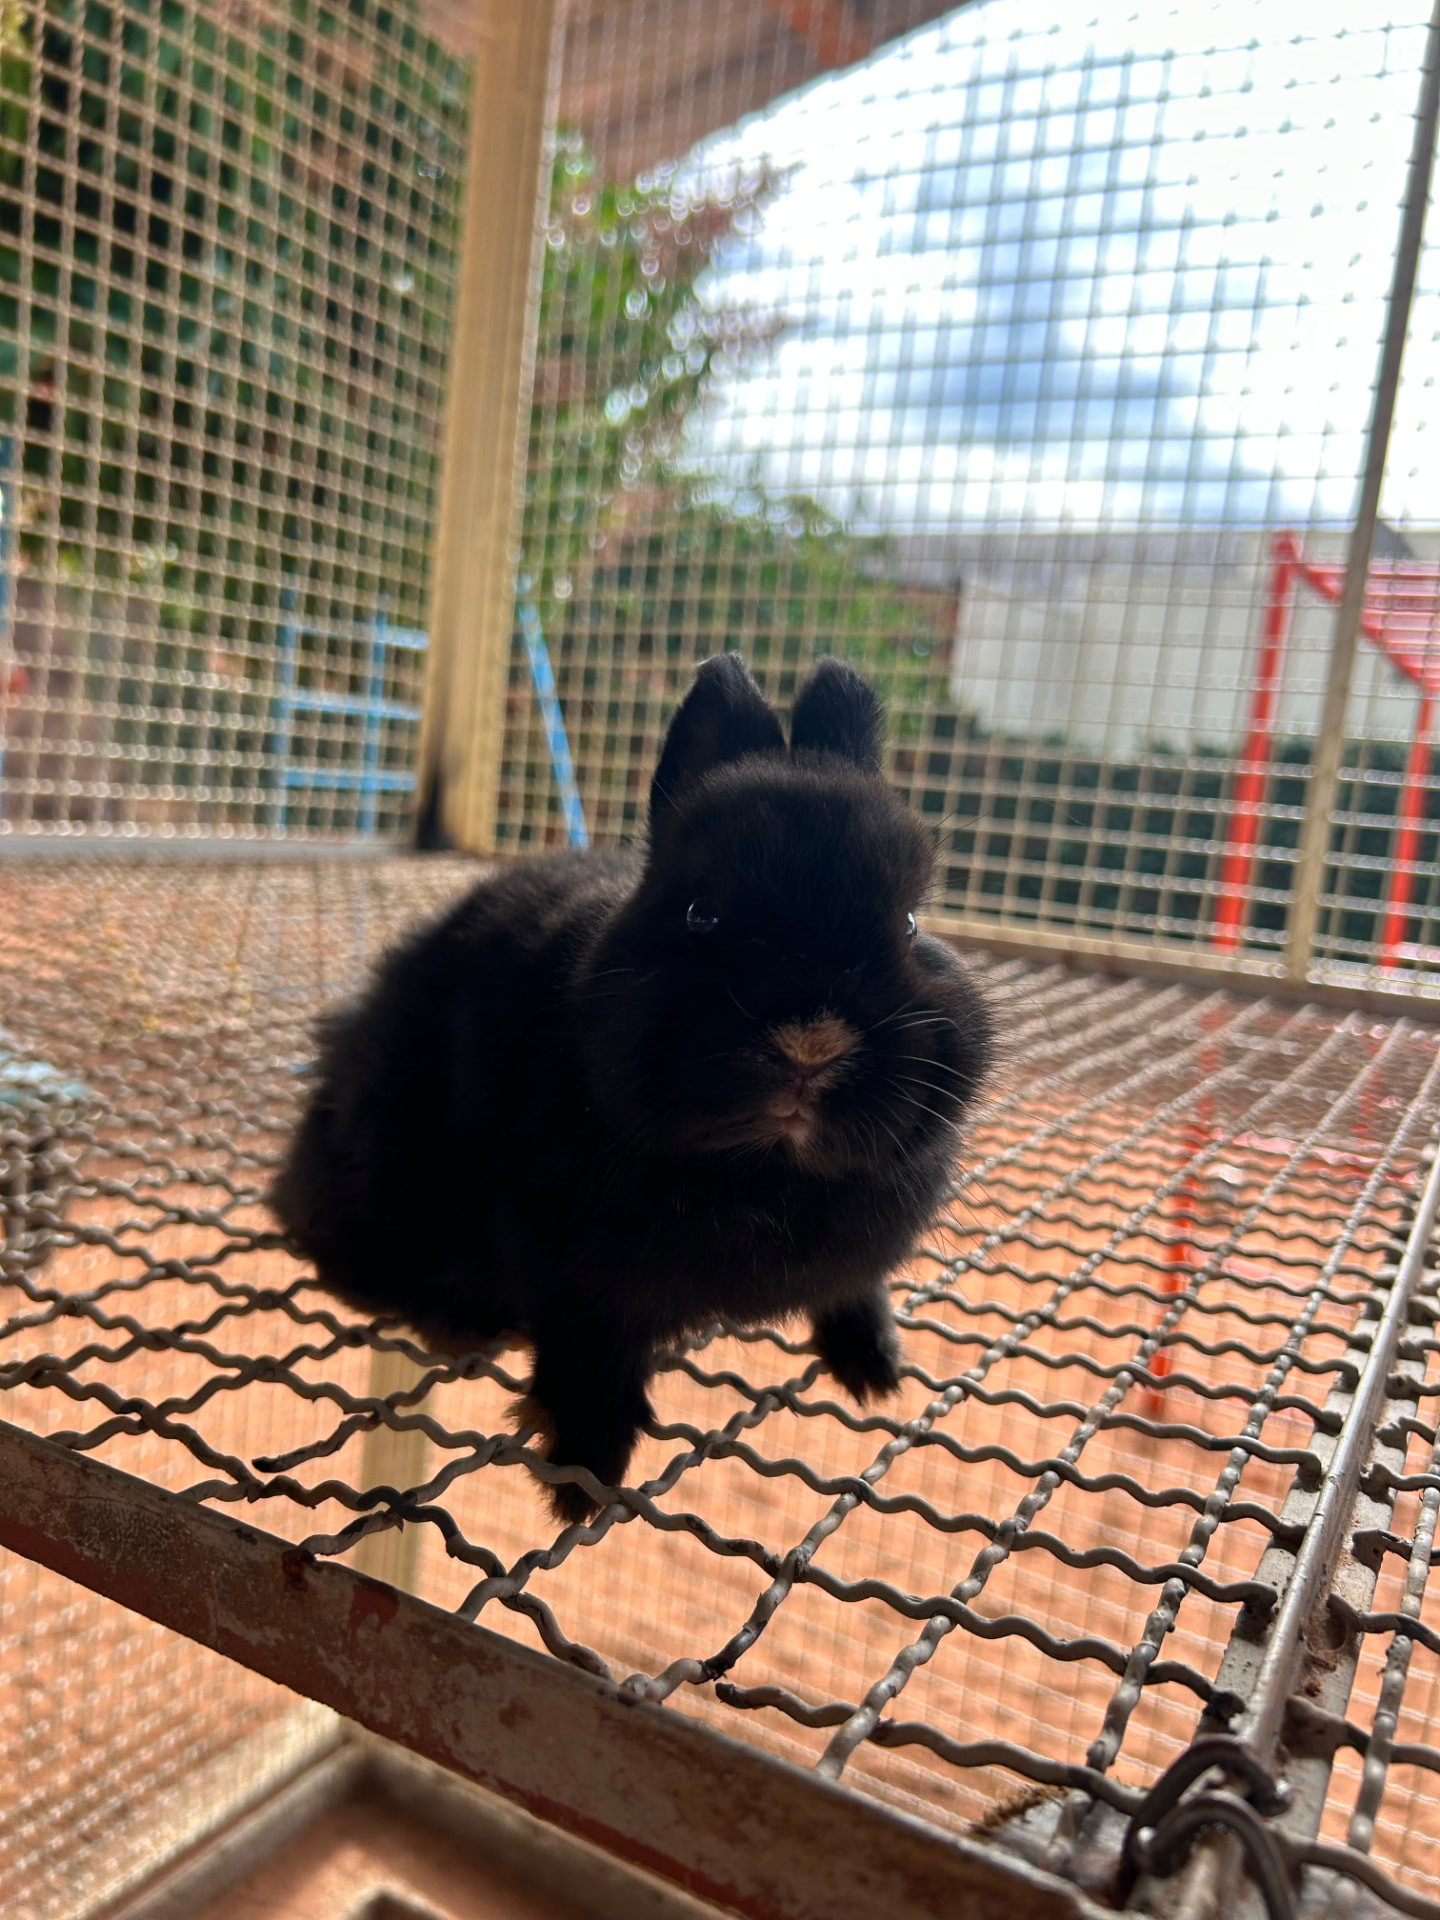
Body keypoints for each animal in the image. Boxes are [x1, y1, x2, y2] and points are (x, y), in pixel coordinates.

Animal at [270, 654, 991, 1524]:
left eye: (911, 923)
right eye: (700, 913)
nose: (809, 1046)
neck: (762, 1171)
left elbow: (856, 1294)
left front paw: (877, 1371)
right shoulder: (576, 1277)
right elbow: (593, 1362)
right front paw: (584, 1481)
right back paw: (453, 1320)